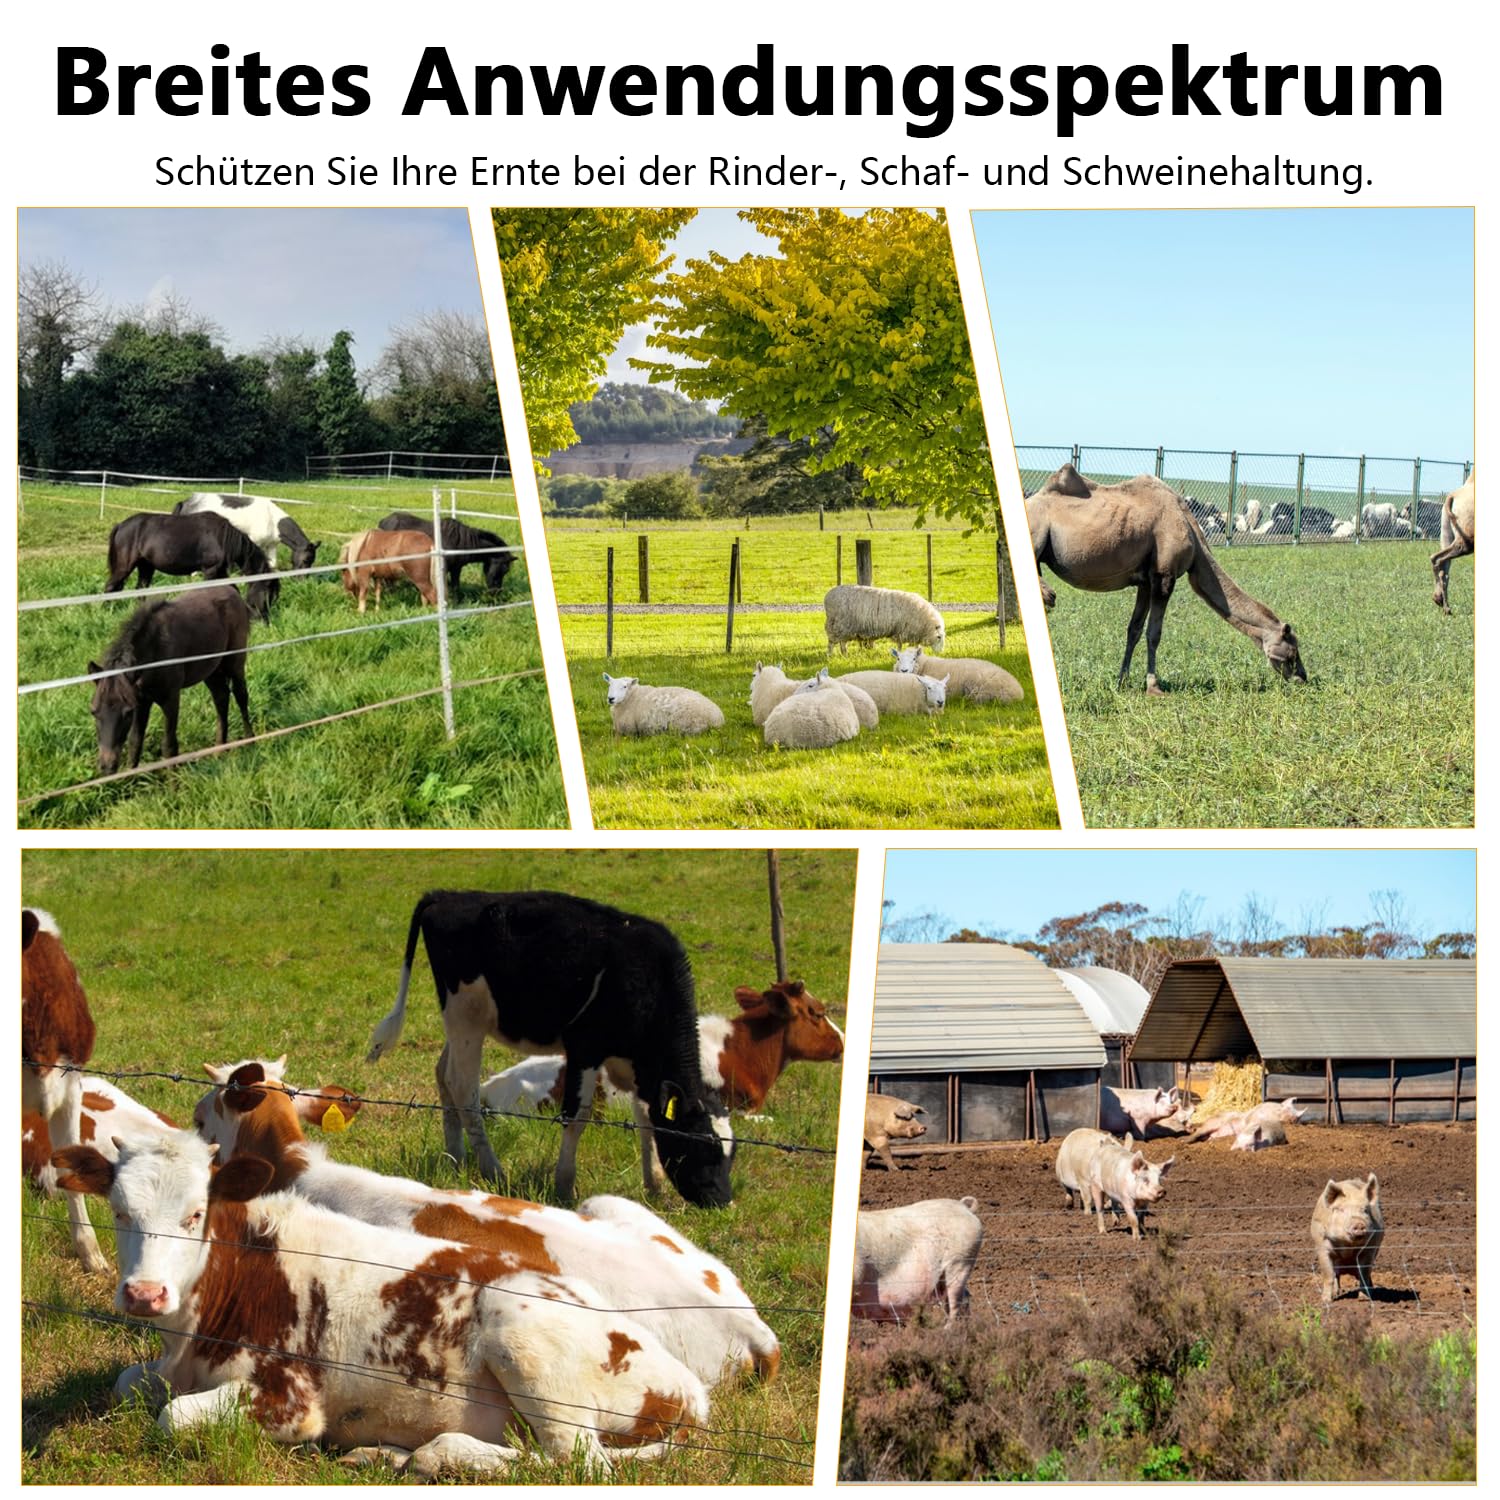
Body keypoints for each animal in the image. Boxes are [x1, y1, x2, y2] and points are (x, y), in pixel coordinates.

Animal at [891, 647, 1023, 704]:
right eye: (898, 658)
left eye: (913, 659)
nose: (904, 670)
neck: (925, 665)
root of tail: (1018, 693)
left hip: (984, 690)